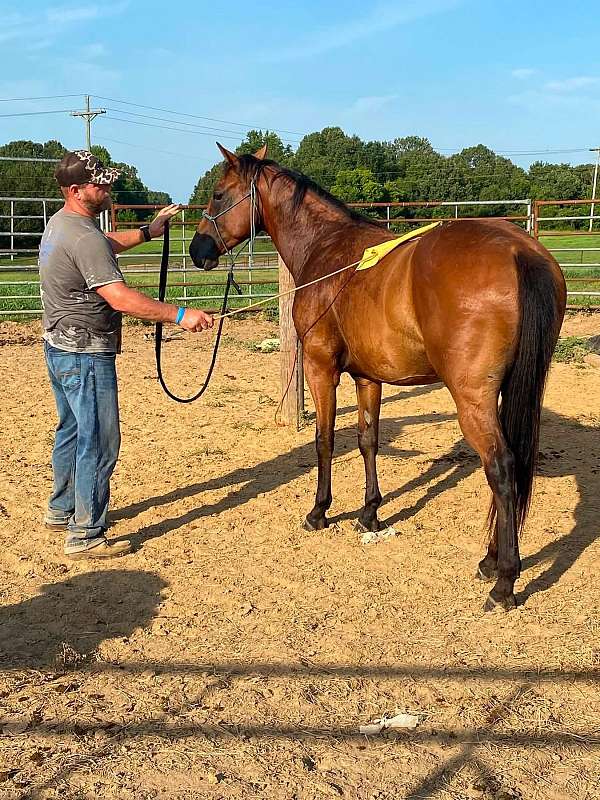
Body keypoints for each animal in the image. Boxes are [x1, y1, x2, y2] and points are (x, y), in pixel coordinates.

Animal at [189, 143, 567, 612]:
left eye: (218, 194)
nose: (197, 250)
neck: (327, 250)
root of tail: (520, 252)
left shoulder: (321, 369)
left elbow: (325, 440)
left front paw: (319, 511)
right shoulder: (368, 377)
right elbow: (367, 439)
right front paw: (369, 513)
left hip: (472, 399)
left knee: (500, 469)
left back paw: (503, 582)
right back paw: (490, 562)